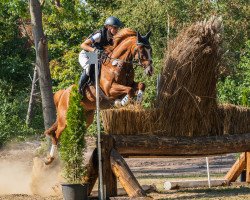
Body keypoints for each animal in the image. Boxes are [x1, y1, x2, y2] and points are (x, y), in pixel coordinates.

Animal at [45, 28, 154, 164]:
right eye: (142, 50)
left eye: (150, 49)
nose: (150, 70)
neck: (117, 64)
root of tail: (63, 94)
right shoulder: (109, 90)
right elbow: (128, 91)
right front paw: (121, 102)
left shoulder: (130, 84)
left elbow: (140, 85)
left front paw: (138, 101)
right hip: (64, 119)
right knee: (57, 134)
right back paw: (50, 159)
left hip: (86, 119)